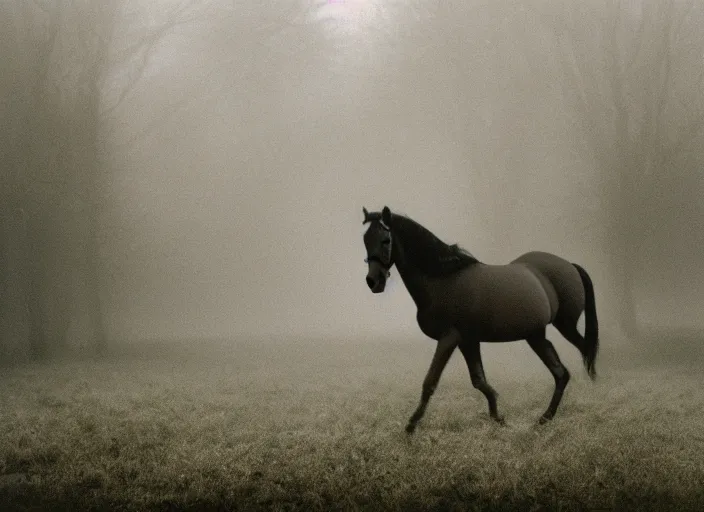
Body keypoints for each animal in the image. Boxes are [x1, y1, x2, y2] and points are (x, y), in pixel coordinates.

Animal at [364, 204, 600, 432]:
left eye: (385, 240)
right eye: (365, 240)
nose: (373, 282)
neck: (442, 280)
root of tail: (570, 265)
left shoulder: (449, 338)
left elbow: (430, 381)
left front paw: (411, 425)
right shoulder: (468, 340)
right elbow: (478, 380)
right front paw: (499, 417)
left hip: (564, 326)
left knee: (582, 355)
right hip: (536, 336)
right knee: (562, 372)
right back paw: (544, 419)